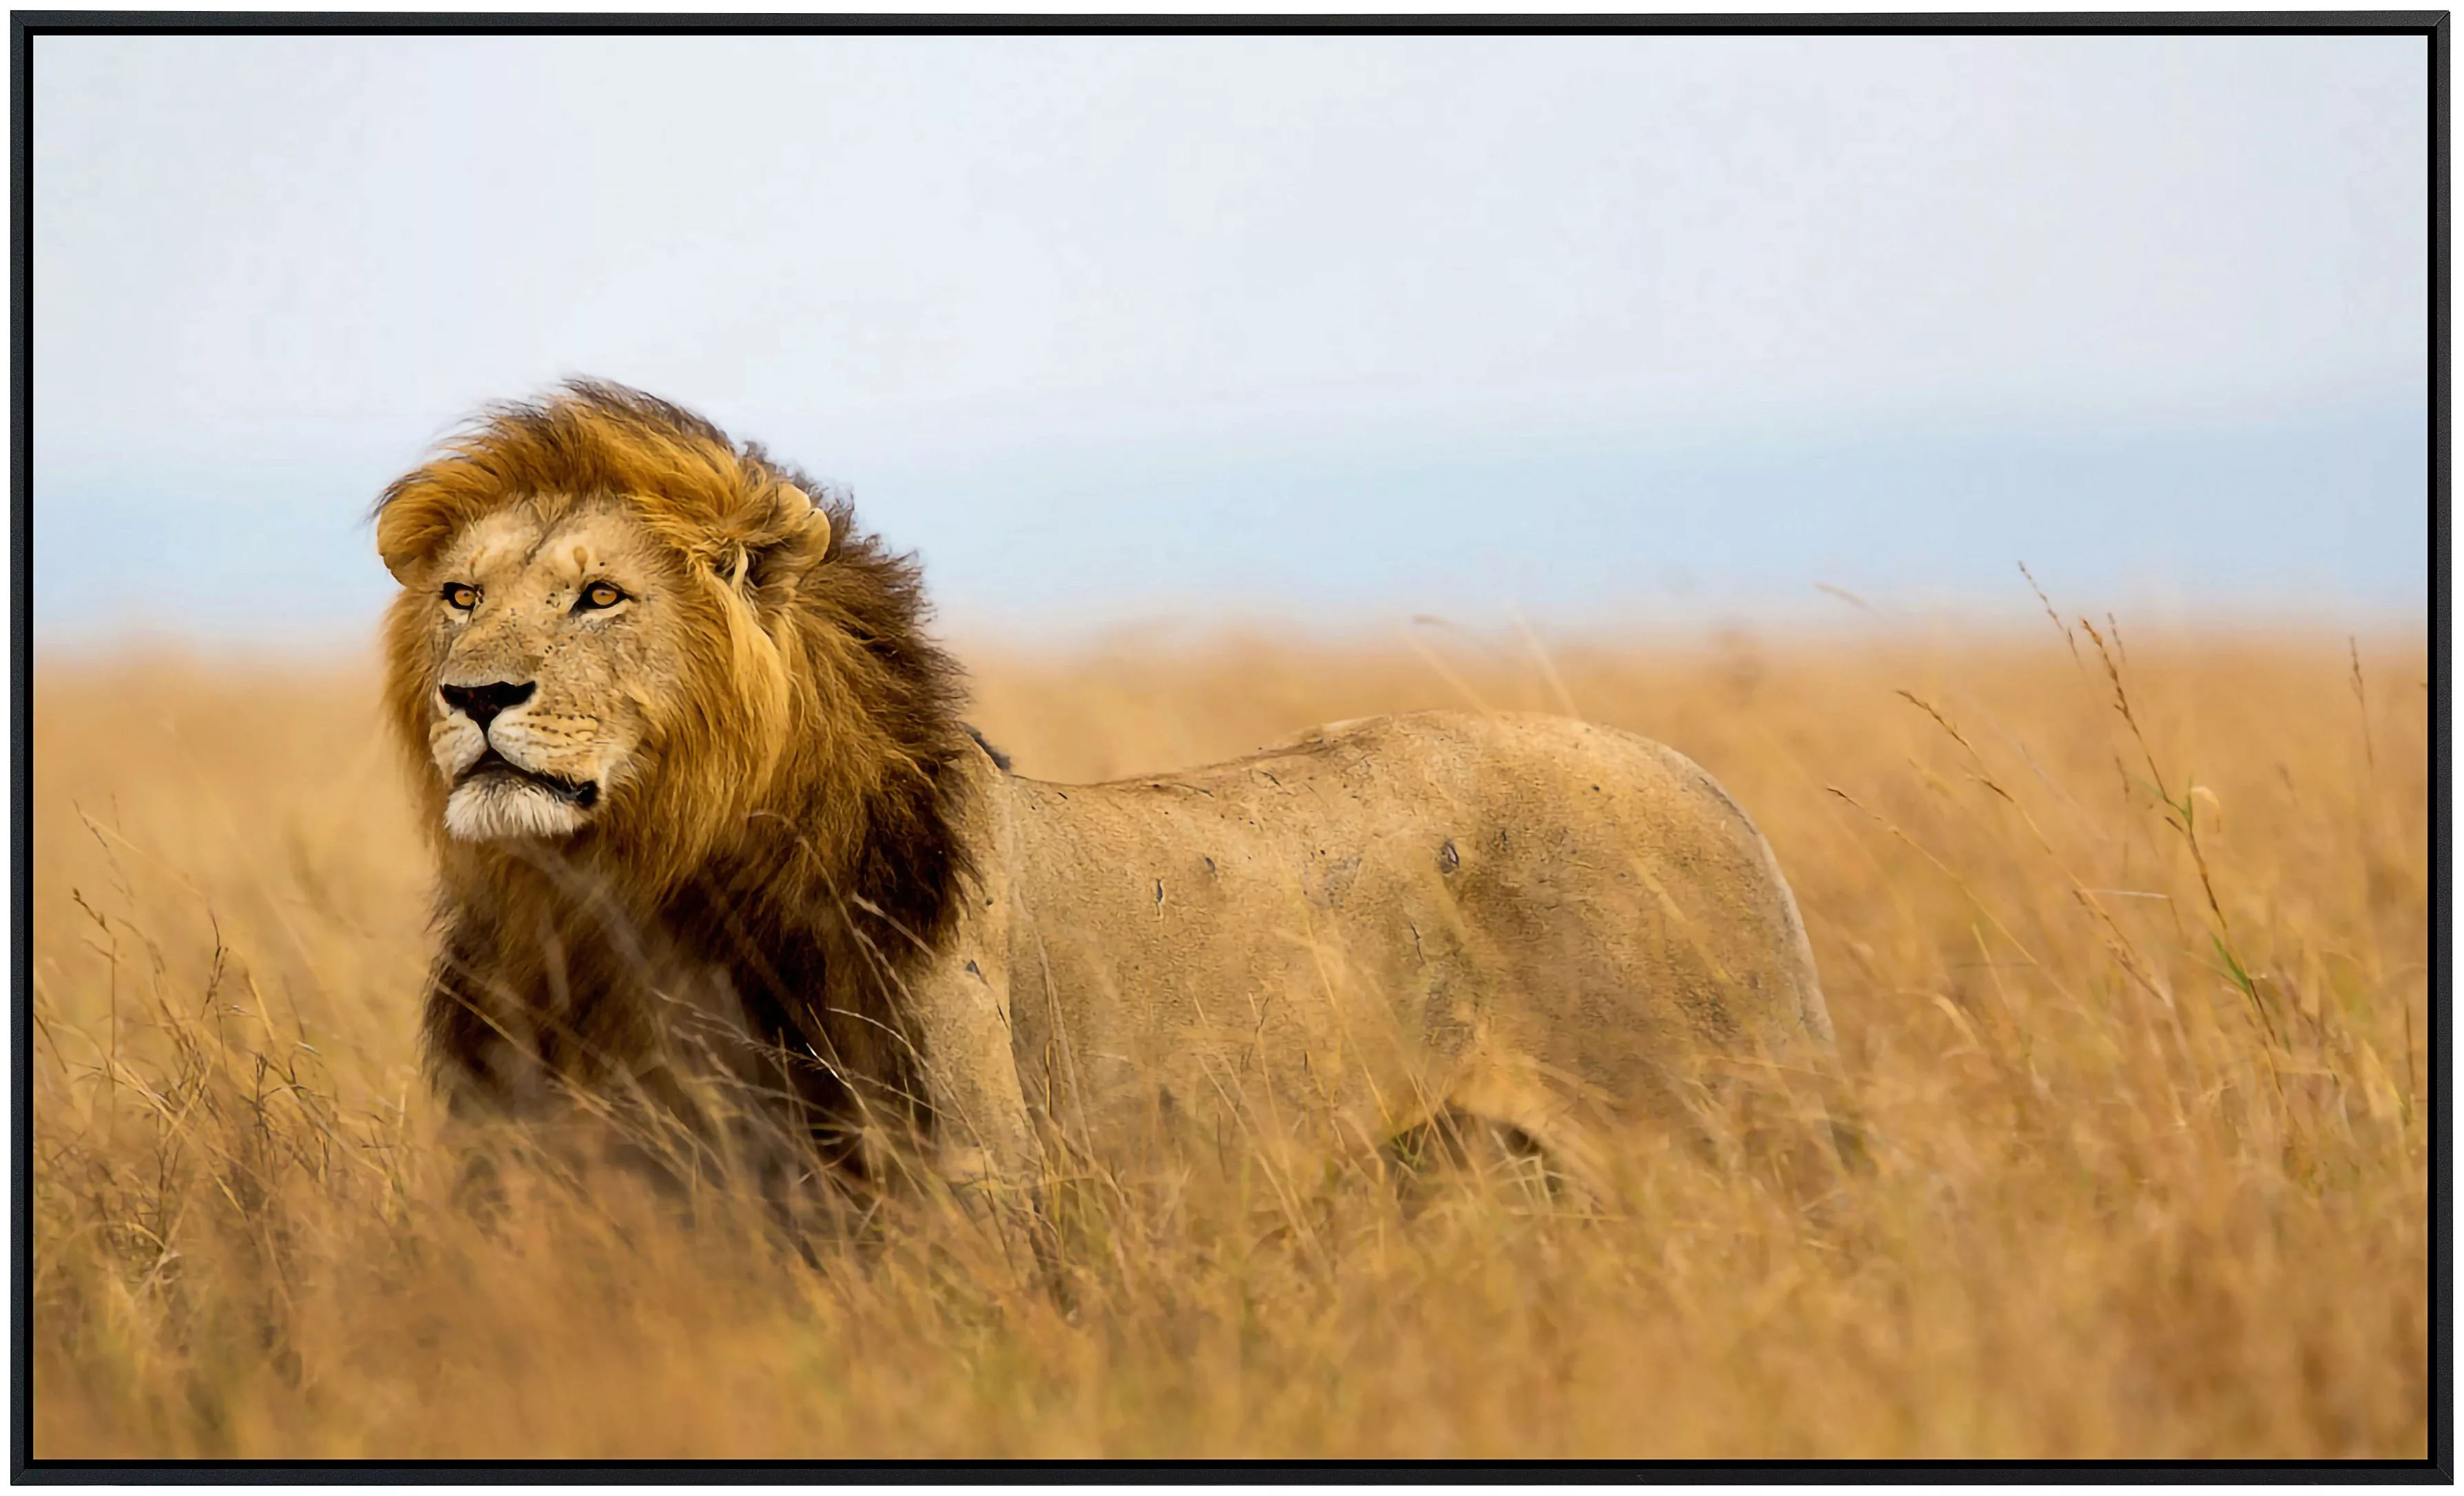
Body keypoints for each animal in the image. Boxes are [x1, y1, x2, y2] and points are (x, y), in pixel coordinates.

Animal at [374, 380, 1843, 1222]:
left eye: (599, 595)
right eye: (460, 595)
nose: (474, 694)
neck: (627, 897)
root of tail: (1708, 786)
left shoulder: (962, 1186)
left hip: (1730, 1140)